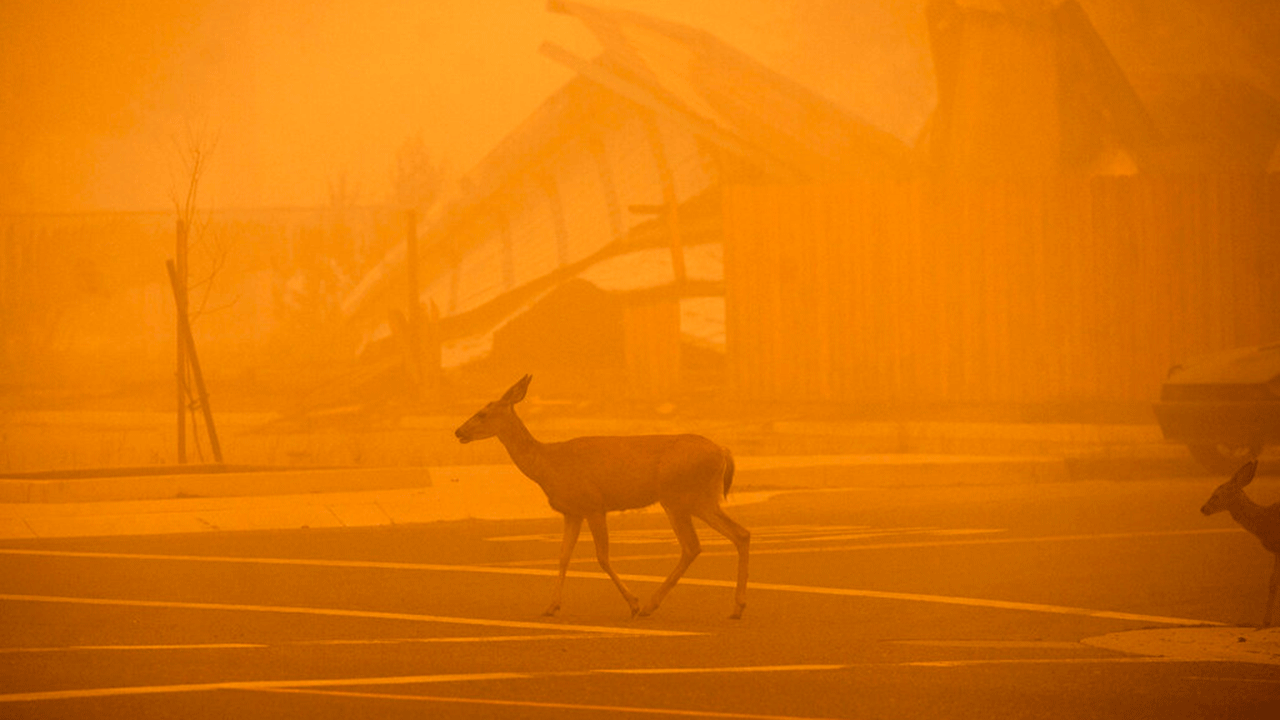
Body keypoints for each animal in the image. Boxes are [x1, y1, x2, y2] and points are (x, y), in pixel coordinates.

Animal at [455, 376, 747, 617]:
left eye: (482, 413)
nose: (458, 431)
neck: (547, 464)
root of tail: (723, 451)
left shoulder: (594, 504)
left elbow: (602, 557)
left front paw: (633, 603)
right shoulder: (572, 511)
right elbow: (563, 556)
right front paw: (551, 606)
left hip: (679, 496)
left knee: (693, 545)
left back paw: (650, 605)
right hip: (700, 498)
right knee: (738, 534)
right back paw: (736, 607)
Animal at [1198, 458, 1280, 622]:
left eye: (1216, 495)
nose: (1203, 509)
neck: (1265, 519)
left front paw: (1266, 621)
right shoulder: (1276, 551)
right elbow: (1273, 582)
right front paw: (1266, 621)